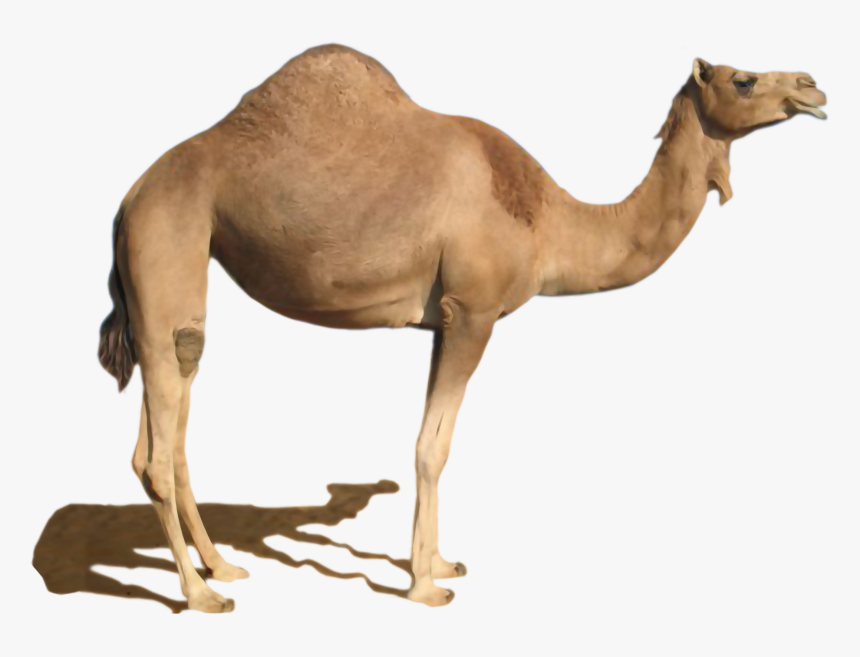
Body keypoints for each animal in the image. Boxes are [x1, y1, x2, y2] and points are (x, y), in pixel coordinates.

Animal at [97, 44, 827, 613]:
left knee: (168, 427)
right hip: (170, 243)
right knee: (160, 447)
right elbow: (432, 447)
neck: (553, 220)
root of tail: (127, 200)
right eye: (743, 79)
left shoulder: (441, 319)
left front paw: (440, 563)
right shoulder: (473, 311)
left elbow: (435, 440)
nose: (813, 85)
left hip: (175, 286)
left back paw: (223, 565)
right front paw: (426, 587)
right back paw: (201, 594)